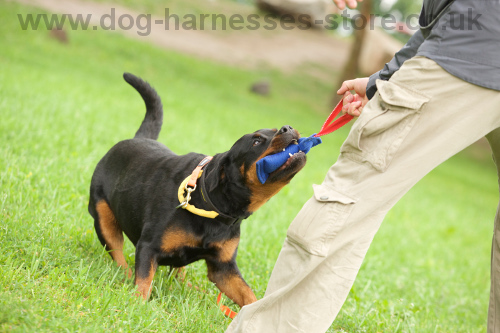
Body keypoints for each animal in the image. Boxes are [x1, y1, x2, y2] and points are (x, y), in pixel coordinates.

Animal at [88, 74, 306, 308]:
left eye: (275, 130)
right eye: (256, 141)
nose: (287, 127)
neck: (215, 205)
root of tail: (139, 138)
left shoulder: (223, 267)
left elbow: (248, 295)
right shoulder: (148, 246)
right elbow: (144, 282)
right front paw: (137, 302)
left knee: (177, 271)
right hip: (103, 218)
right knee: (117, 253)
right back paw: (125, 274)